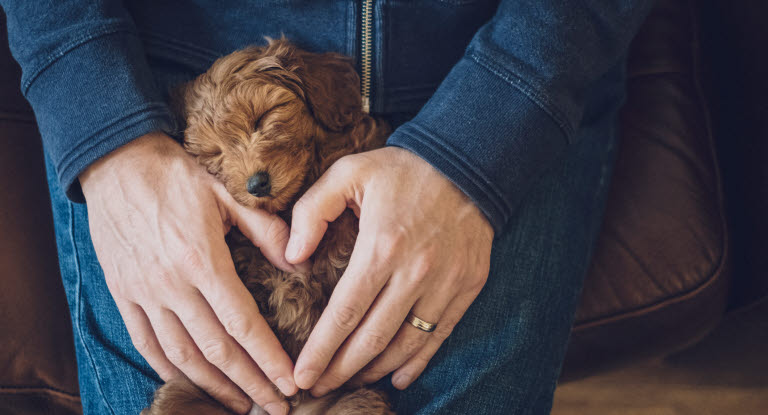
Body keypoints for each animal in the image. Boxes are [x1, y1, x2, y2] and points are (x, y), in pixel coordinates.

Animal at [142, 39, 396, 415]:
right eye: (214, 153)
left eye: (262, 118)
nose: (257, 184)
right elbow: (252, 261)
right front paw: (291, 294)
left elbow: (343, 217)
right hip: (183, 392)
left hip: (358, 401)